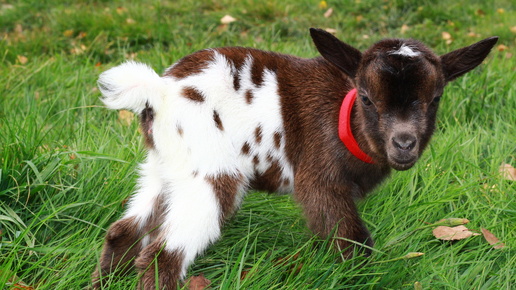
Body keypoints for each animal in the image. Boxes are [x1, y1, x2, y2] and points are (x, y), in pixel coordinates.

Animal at [94, 27, 498, 288]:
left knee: (123, 231)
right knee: (164, 254)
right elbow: (352, 241)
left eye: (436, 99)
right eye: (366, 97)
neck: (342, 117)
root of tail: (160, 92)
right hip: (209, 171)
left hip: (164, 167)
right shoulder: (320, 180)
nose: (404, 143)